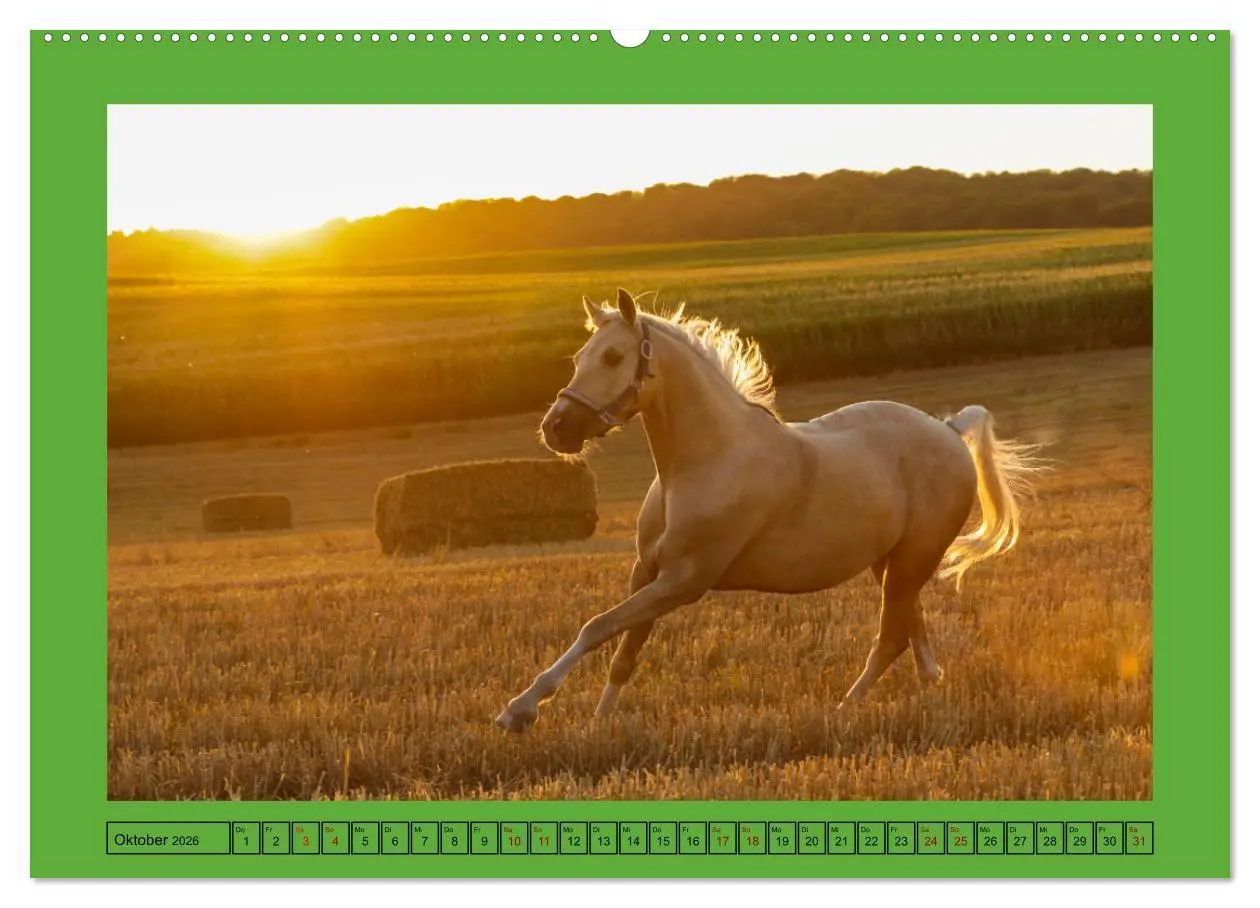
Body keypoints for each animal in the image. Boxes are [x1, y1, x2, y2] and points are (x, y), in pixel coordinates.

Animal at [494, 288, 1044, 732]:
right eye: (579, 356)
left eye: (613, 356)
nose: (556, 428)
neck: (708, 459)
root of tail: (949, 430)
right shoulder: (647, 571)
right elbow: (623, 652)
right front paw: (597, 724)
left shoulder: (683, 581)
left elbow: (597, 627)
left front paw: (520, 710)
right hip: (890, 564)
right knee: (912, 633)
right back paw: (928, 693)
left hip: (914, 559)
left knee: (890, 638)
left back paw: (842, 712)